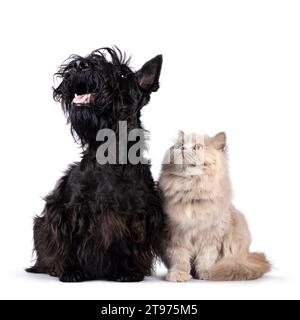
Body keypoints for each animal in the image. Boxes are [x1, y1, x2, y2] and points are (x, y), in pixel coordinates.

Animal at [26, 47, 164, 282]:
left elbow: (130, 244)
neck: (111, 154)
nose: (80, 65)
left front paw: (128, 271)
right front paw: (71, 271)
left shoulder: (138, 213)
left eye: (122, 74)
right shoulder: (69, 210)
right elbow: (69, 242)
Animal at [158, 131, 270, 282]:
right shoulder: (174, 234)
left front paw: (206, 273)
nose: (182, 149)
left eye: (197, 147)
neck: (192, 192)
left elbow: (206, 257)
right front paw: (179, 275)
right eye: (180, 145)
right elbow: (179, 258)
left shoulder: (211, 236)